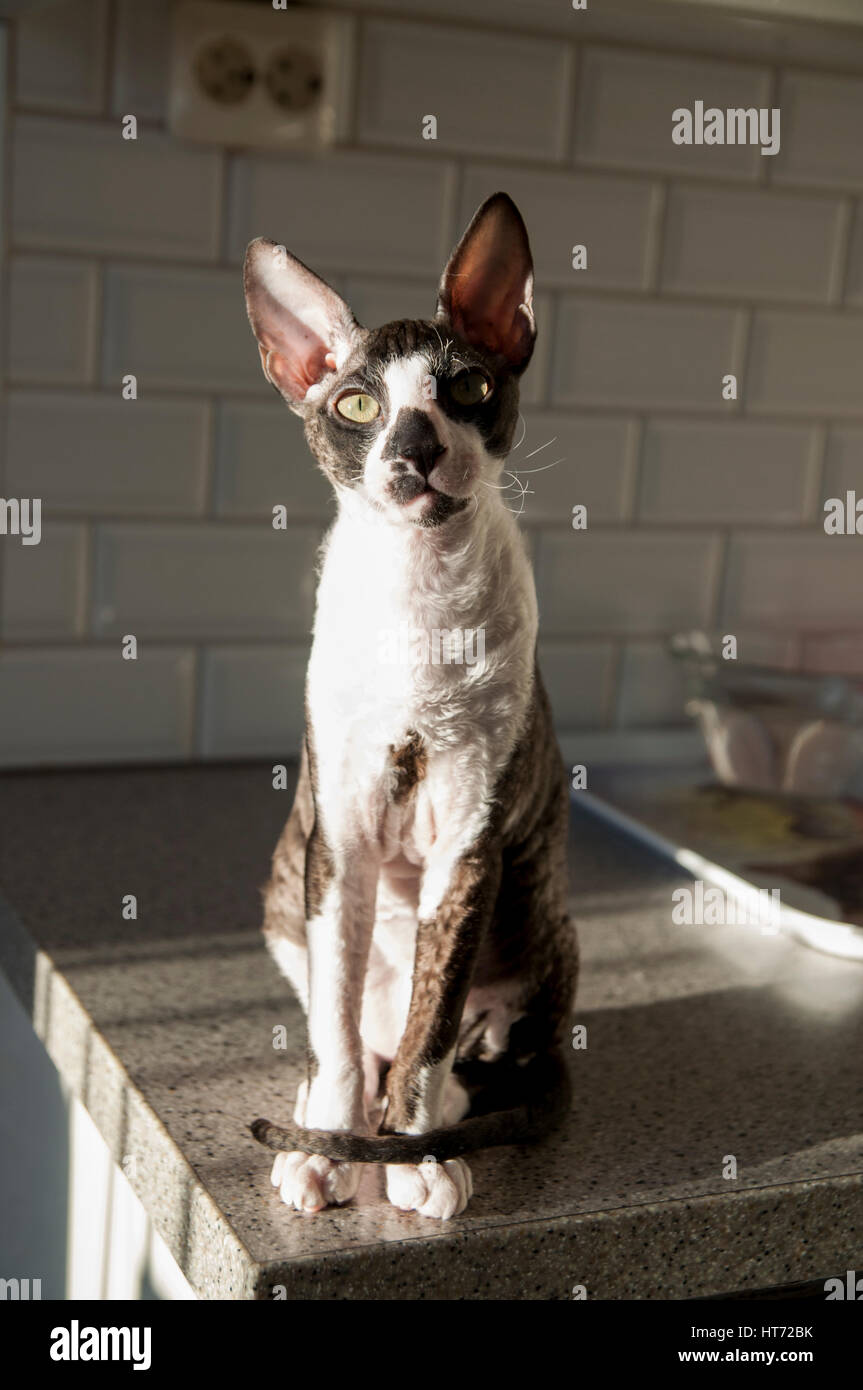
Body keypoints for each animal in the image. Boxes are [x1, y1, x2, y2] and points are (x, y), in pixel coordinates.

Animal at [241, 187, 575, 1217]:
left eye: (466, 389)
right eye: (356, 404)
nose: (416, 445)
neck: (418, 610)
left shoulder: (468, 845)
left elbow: (431, 1031)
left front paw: (416, 1156)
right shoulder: (339, 840)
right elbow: (338, 1029)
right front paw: (329, 1146)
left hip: (534, 927)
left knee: (455, 1040)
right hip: (287, 893)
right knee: (349, 1021)